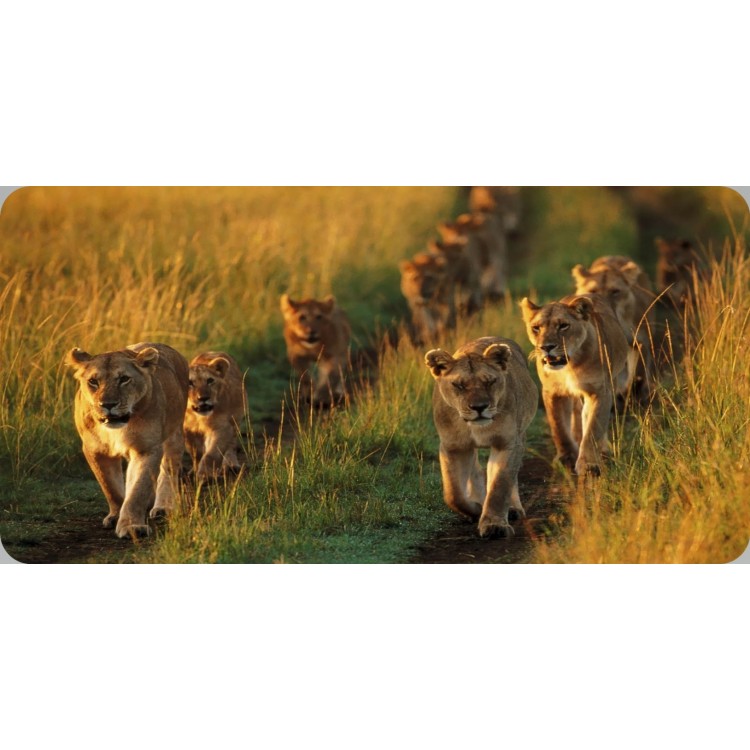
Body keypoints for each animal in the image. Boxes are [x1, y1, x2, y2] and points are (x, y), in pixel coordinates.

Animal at [66, 341, 189, 539]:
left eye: (124, 379)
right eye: (93, 381)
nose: (108, 405)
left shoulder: (146, 448)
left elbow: (138, 490)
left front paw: (132, 526)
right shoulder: (95, 450)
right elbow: (111, 487)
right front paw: (116, 516)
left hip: (174, 434)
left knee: (168, 471)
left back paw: (163, 507)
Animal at [183, 351, 246, 479]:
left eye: (210, 380)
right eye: (190, 383)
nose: (203, 398)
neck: (197, 417)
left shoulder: (222, 427)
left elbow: (211, 454)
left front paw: (204, 475)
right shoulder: (188, 431)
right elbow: (196, 453)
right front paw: (195, 471)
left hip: (235, 421)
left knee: (231, 445)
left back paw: (231, 465)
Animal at [425, 337, 538, 538]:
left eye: (490, 382)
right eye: (459, 385)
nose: (479, 407)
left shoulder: (508, 443)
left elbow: (500, 485)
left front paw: (494, 525)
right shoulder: (454, 447)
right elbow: (453, 494)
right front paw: (476, 509)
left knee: (511, 478)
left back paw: (512, 509)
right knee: (475, 471)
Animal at [520, 294, 629, 476]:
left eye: (563, 326)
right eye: (536, 328)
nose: (546, 347)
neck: (570, 365)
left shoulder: (599, 391)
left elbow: (593, 428)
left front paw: (588, 464)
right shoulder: (553, 391)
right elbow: (558, 426)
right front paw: (567, 457)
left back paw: (602, 449)